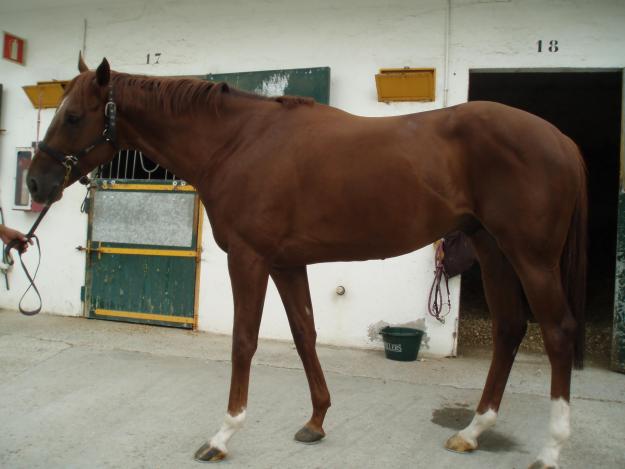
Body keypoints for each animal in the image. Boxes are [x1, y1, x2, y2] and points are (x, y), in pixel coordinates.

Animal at [28, 55, 584, 468]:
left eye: (73, 116)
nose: (35, 182)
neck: (237, 143)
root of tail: (561, 139)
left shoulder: (249, 260)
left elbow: (244, 342)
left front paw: (223, 435)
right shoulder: (285, 263)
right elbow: (304, 333)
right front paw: (316, 422)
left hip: (531, 257)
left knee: (557, 333)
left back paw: (550, 449)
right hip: (492, 249)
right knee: (510, 329)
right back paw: (473, 431)